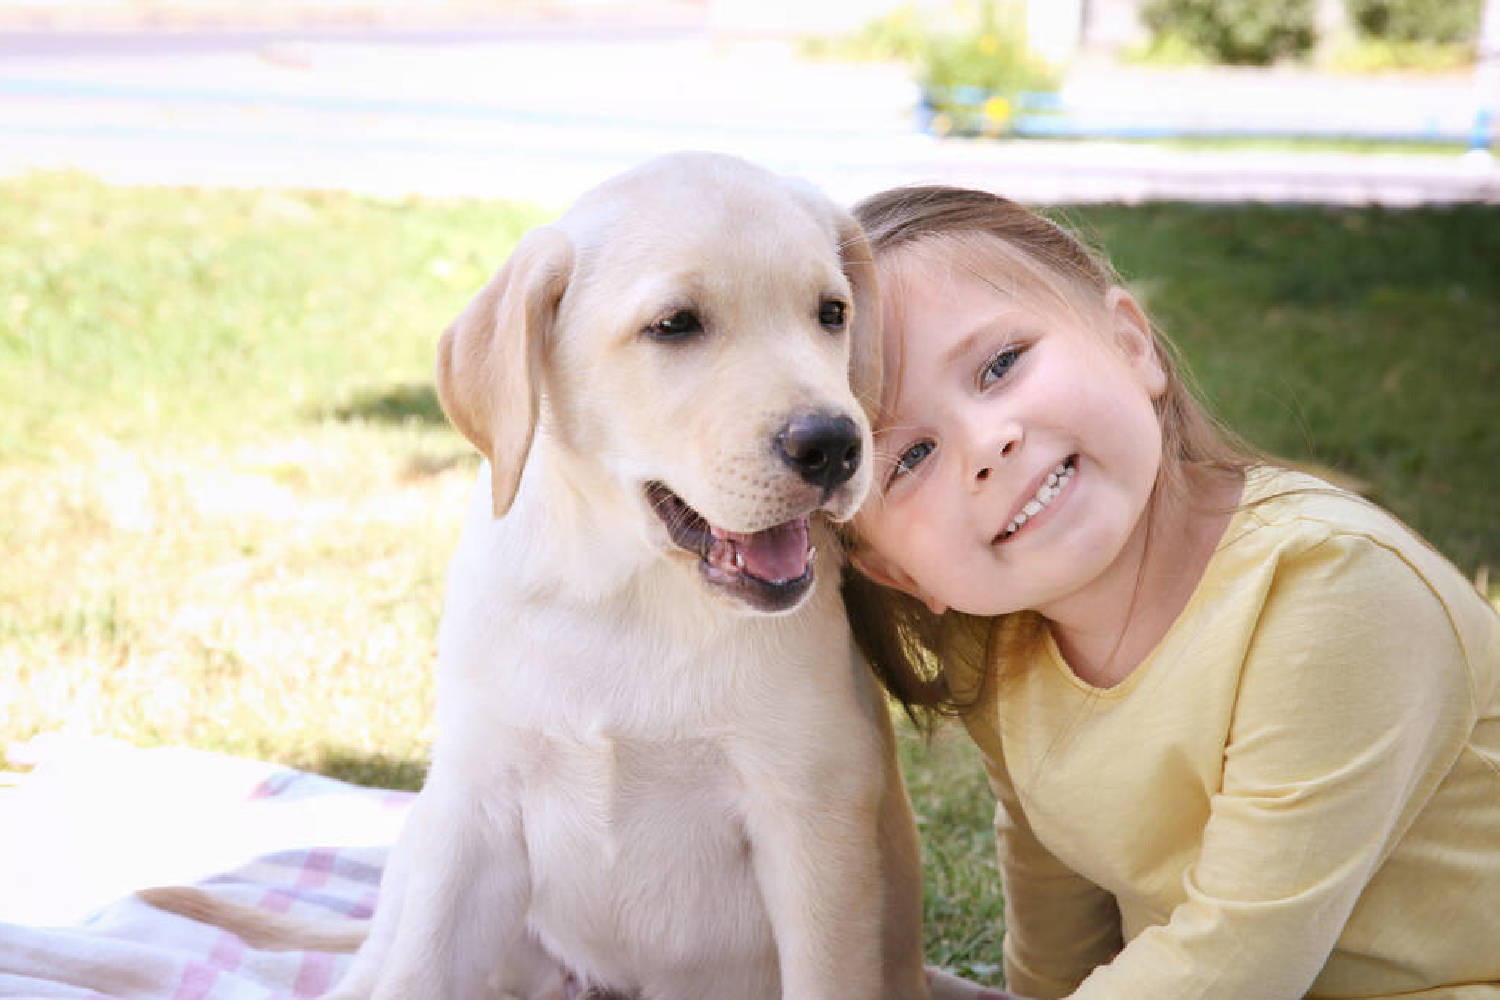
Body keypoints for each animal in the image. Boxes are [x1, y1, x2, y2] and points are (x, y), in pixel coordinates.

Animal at [146, 150, 954, 1000]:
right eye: (675, 325)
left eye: (831, 313)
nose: (834, 445)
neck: (628, 594)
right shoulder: (471, 815)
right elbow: (418, 971)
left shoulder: (812, 825)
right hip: (422, 841)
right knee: (373, 968)